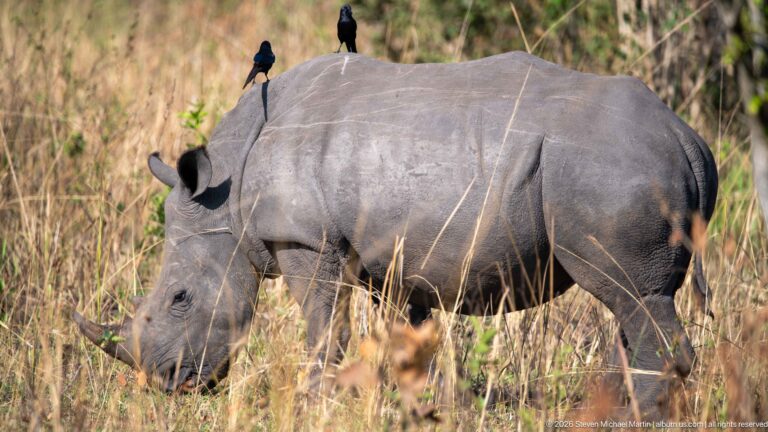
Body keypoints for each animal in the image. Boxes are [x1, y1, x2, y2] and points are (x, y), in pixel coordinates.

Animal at [74, 51, 717, 418]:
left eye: (180, 300)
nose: (166, 385)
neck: (227, 190)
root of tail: (687, 136)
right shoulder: (392, 253)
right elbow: (403, 335)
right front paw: (411, 400)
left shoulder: (305, 241)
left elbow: (324, 328)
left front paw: (313, 402)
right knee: (632, 304)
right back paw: (609, 405)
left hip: (610, 169)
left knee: (632, 294)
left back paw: (636, 418)